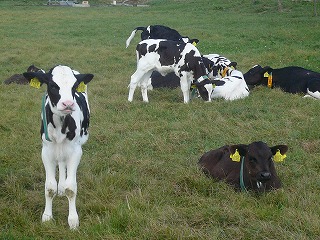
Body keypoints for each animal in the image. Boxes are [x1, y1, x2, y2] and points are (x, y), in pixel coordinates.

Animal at [23, 65, 94, 229]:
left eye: (74, 86)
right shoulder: (46, 151)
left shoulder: (76, 151)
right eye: (52, 85)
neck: (61, 125)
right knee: (61, 163)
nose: (68, 103)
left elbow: (71, 188)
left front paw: (73, 220)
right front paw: (47, 216)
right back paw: (60, 188)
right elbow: (49, 187)